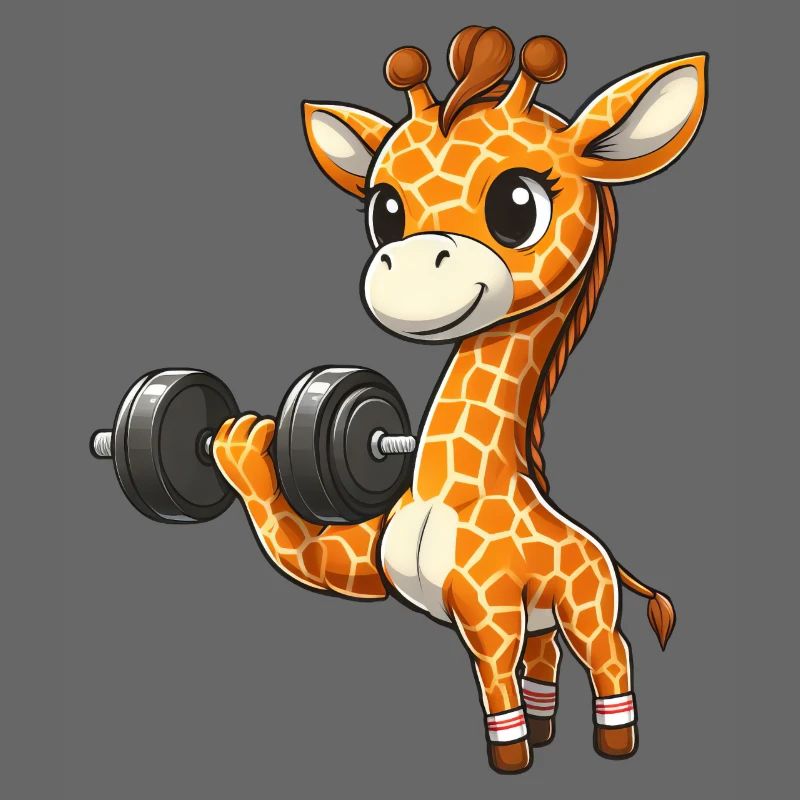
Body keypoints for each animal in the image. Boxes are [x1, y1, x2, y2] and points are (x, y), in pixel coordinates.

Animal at [213, 28, 707, 773]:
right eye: (386, 210)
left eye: (518, 204)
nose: (409, 270)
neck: (454, 489)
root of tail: (600, 550)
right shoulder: (376, 567)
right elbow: (311, 559)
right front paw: (240, 446)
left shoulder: (489, 613)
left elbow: (493, 686)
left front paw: (510, 761)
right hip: (546, 619)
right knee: (546, 662)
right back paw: (549, 727)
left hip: (587, 605)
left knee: (610, 656)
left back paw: (616, 742)